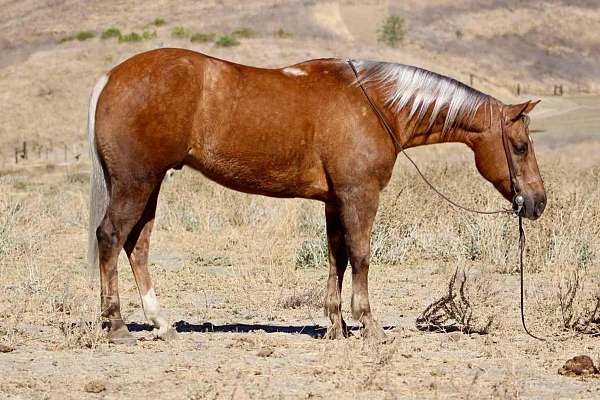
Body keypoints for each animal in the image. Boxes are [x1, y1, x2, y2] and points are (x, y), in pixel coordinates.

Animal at [86, 48, 548, 344]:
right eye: (520, 147)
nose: (537, 202)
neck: (377, 105)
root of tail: (111, 77)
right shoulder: (360, 196)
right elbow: (360, 256)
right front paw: (368, 326)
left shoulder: (334, 201)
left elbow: (336, 258)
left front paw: (335, 326)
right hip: (136, 183)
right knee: (111, 237)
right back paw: (116, 325)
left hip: (149, 185)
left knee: (137, 244)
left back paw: (160, 323)